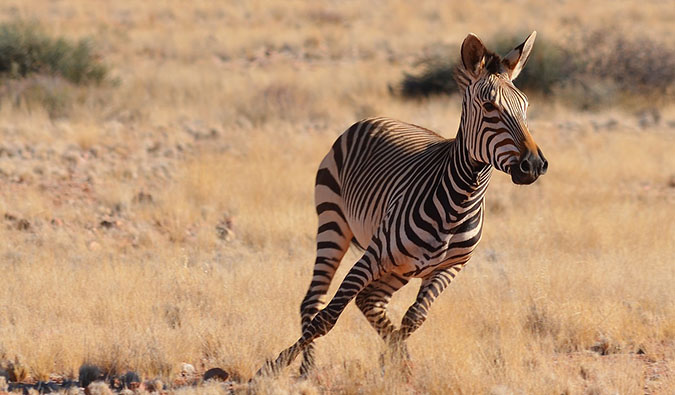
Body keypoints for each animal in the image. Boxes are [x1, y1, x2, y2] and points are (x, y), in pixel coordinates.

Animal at [256, 31, 548, 378]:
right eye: (490, 106)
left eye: (526, 106)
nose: (534, 164)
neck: (460, 200)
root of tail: (376, 118)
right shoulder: (374, 255)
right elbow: (327, 317)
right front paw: (270, 368)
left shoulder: (450, 268)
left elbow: (414, 318)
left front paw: (395, 363)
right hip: (332, 224)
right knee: (313, 302)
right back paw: (306, 369)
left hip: (400, 268)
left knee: (369, 301)